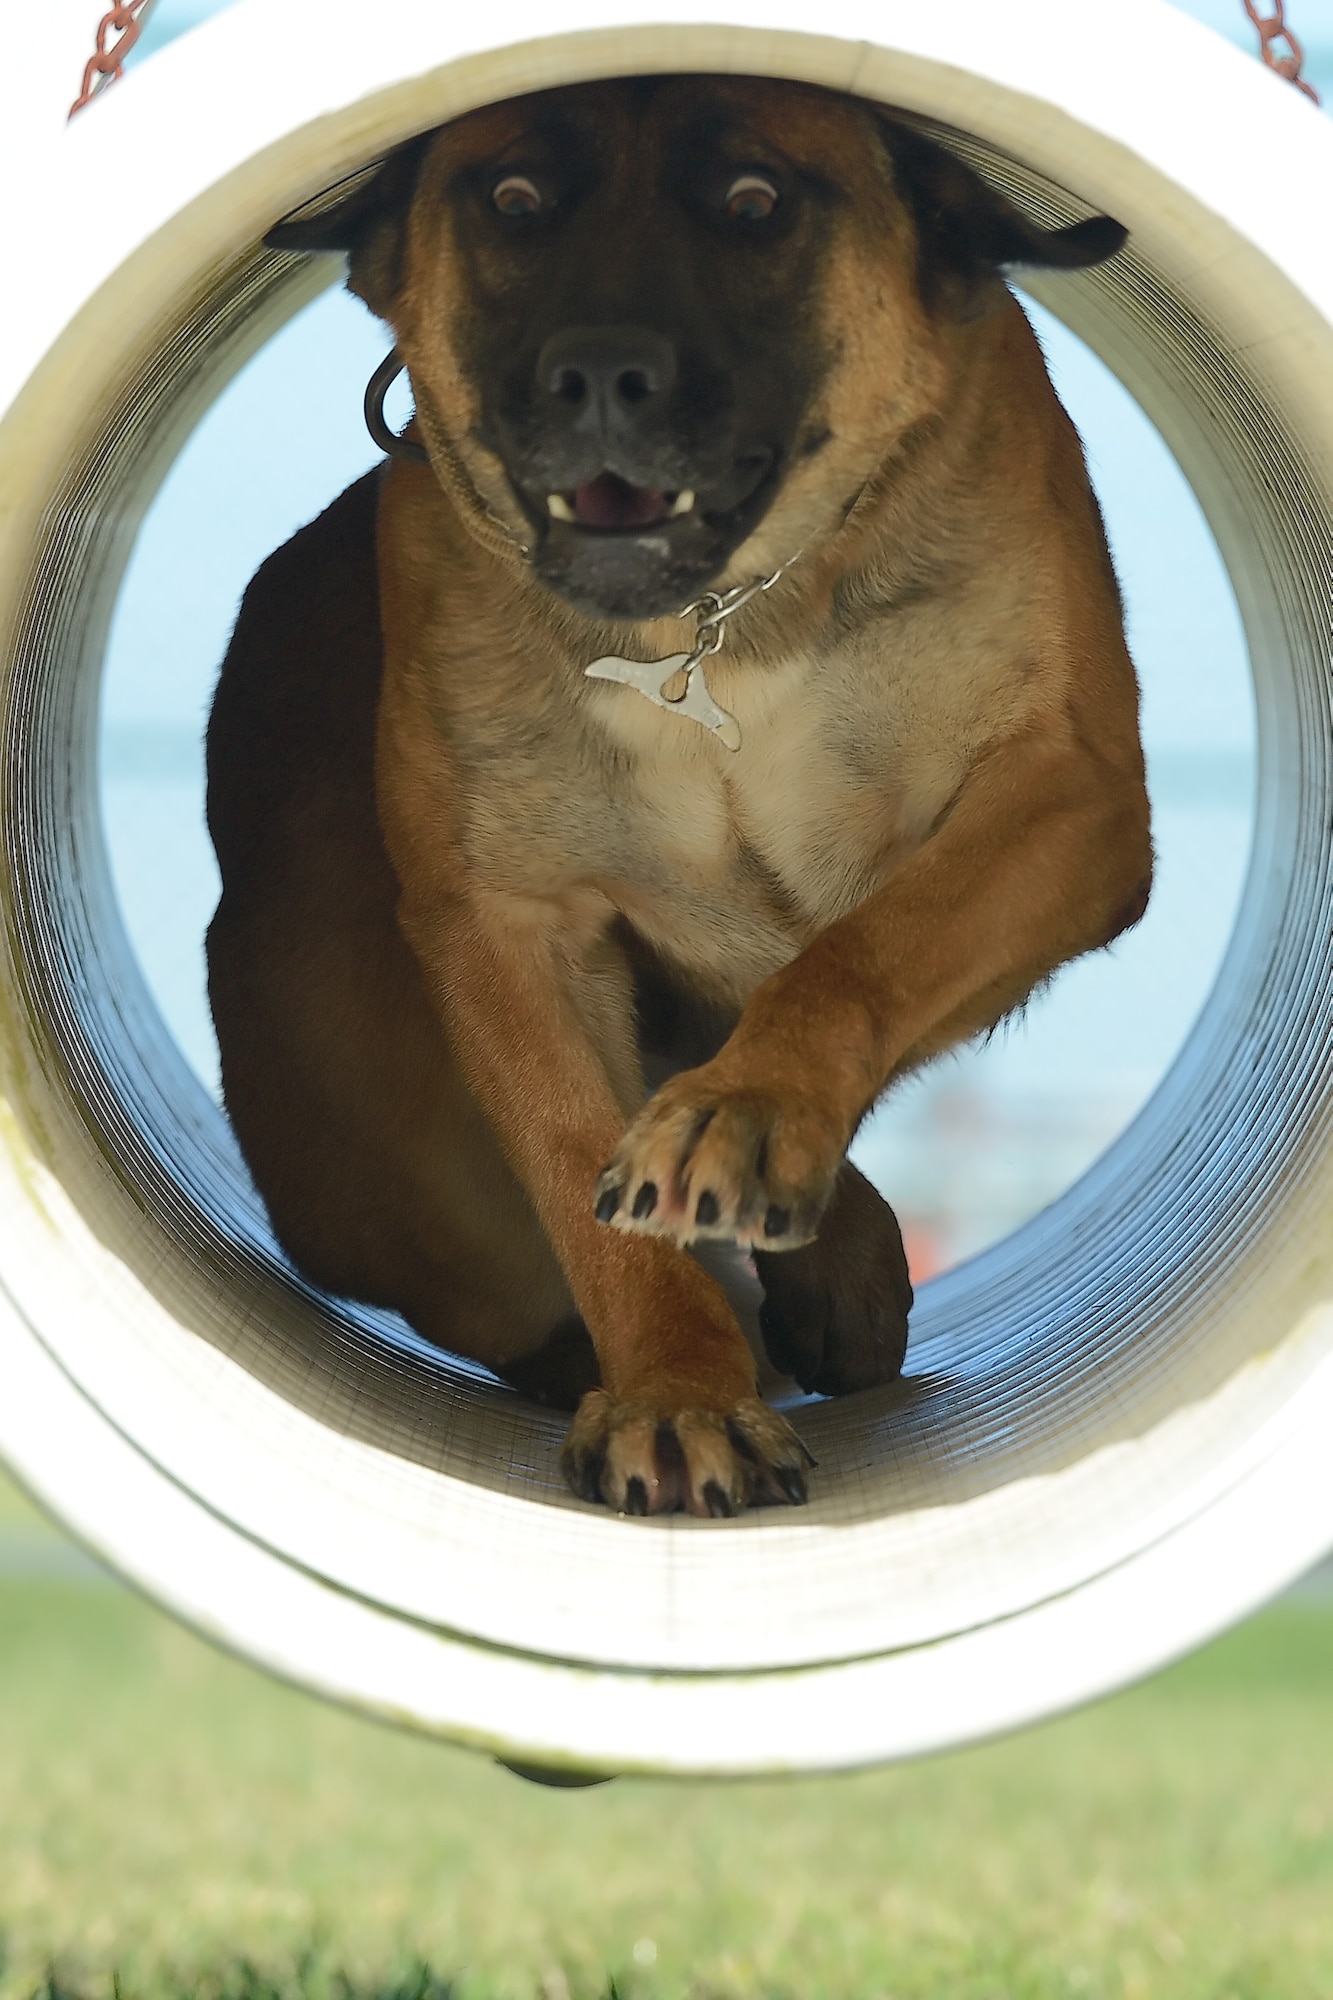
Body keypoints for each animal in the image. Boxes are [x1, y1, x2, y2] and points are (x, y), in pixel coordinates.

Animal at [202, 74, 1144, 1512]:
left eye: (754, 203)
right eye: (513, 199)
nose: (597, 376)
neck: (714, 626)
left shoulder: (1063, 799)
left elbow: (856, 960)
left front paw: (748, 1123)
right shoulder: (509, 930)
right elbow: (578, 1168)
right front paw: (677, 1390)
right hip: (378, 1158)